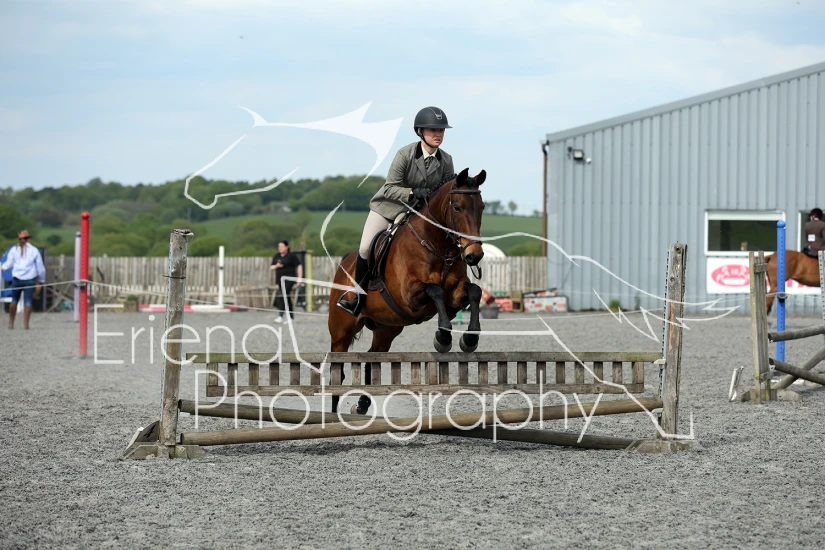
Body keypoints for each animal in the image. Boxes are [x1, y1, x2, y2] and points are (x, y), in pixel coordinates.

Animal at [328, 168, 486, 414]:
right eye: (458, 207)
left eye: (482, 207)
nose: (474, 256)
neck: (436, 244)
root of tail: (345, 263)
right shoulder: (410, 297)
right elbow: (435, 291)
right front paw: (443, 338)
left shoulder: (455, 293)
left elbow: (474, 292)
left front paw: (469, 339)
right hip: (340, 333)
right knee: (338, 369)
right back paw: (334, 413)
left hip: (386, 329)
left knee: (372, 359)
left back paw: (362, 405)